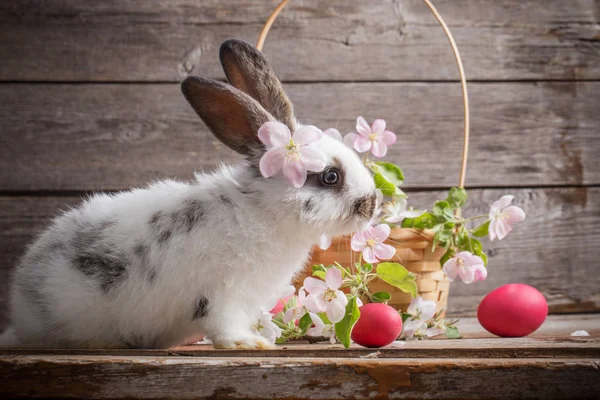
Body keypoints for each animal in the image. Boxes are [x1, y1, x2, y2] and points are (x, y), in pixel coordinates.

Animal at [0, 39, 376, 348]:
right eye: (330, 176)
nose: (372, 204)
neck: (264, 211)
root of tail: (20, 312)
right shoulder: (222, 295)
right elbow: (222, 325)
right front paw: (248, 343)